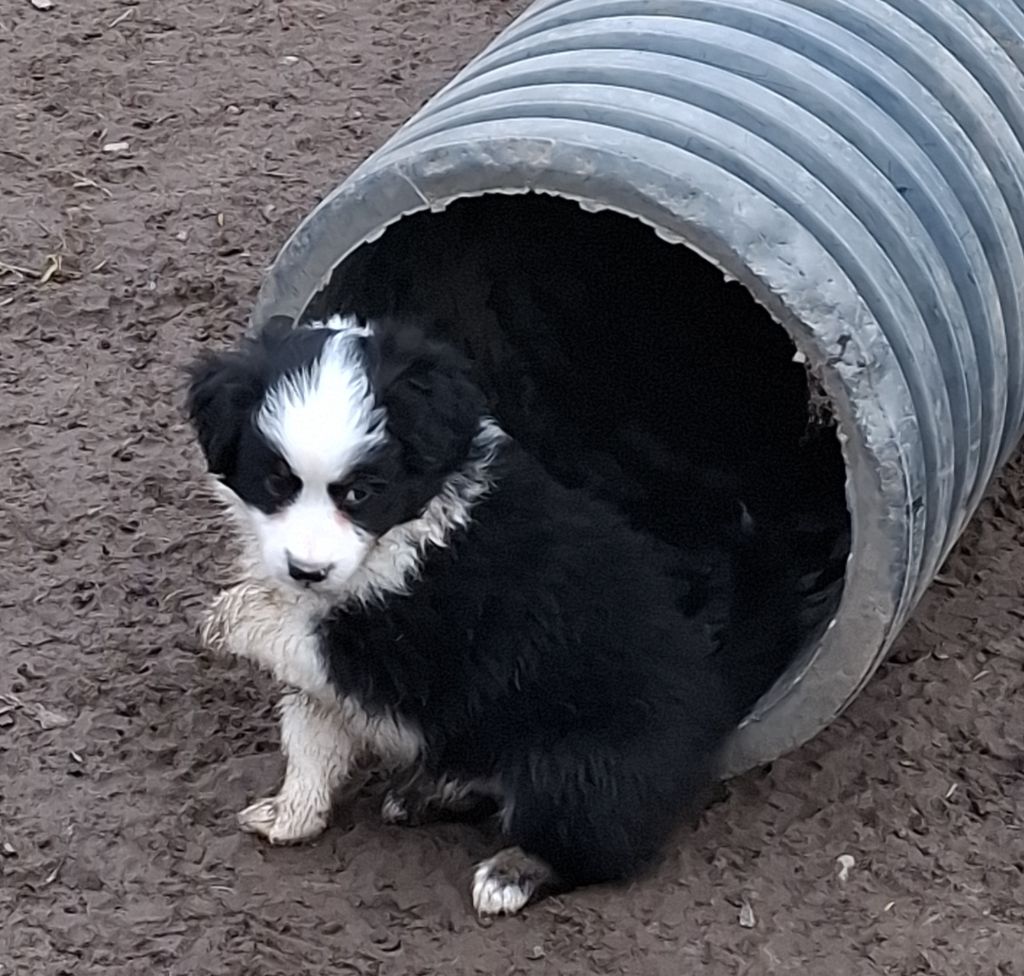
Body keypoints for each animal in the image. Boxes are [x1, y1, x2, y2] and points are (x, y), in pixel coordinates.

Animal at [188, 313, 741, 913]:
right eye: (275, 483)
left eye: (360, 493)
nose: (306, 570)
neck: (406, 531)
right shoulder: (330, 675)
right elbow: (311, 735)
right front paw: (291, 815)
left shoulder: (405, 649)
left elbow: (289, 630)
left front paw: (224, 619)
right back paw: (430, 792)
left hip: (577, 762)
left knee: (592, 843)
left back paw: (509, 872)